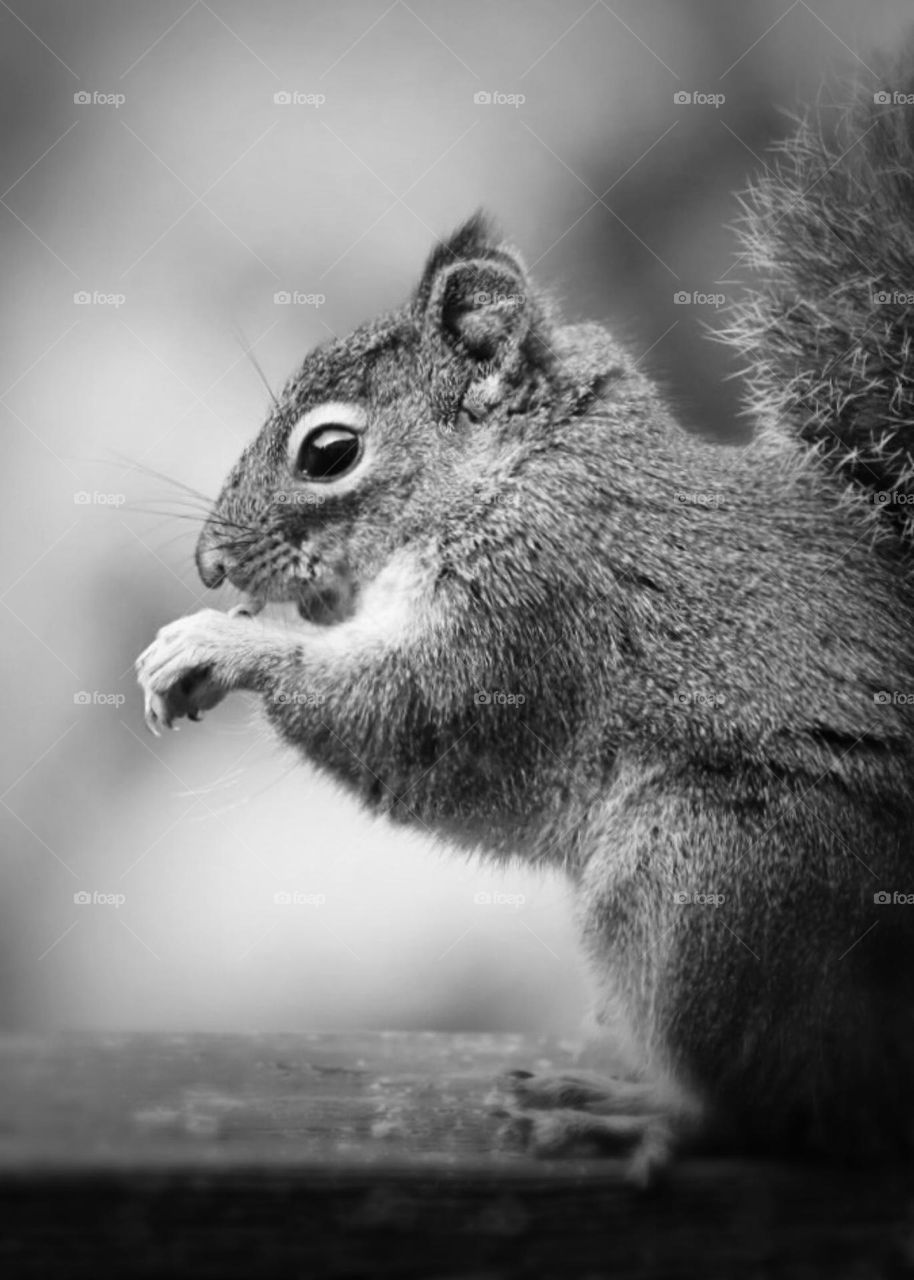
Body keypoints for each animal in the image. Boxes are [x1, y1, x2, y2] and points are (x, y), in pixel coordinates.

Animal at [135, 57, 914, 1177]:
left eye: (329, 452)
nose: (209, 564)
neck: (524, 468)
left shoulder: (534, 608)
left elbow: (413, 715)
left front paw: (218, 642)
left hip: (717, 878)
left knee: (769, 1110)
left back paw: (629, 1112)